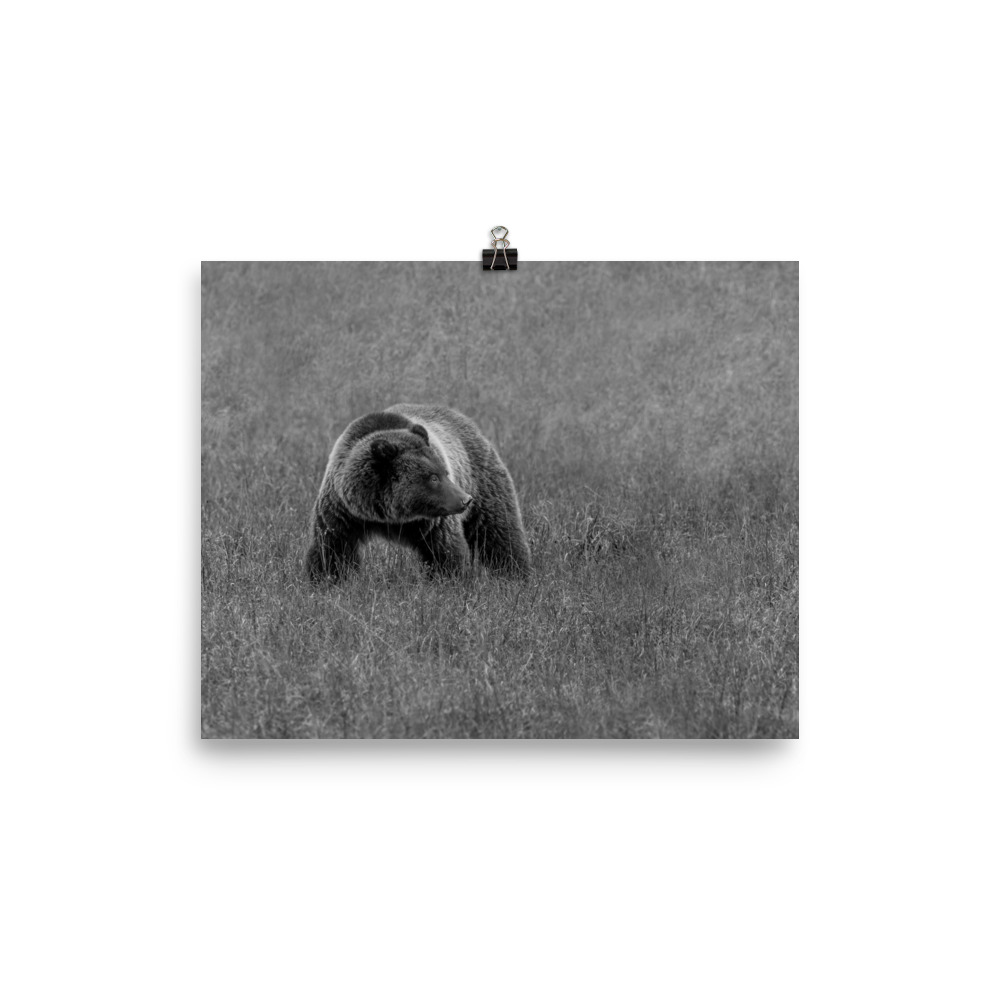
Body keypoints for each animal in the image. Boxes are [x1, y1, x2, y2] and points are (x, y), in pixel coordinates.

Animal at [306, 404, 531, 582]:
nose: (465, 500)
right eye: (433, 477)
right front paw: (326, 580)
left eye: (445, 472)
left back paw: (516, 574)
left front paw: (448, 580)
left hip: (482, 480)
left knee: (498, 531)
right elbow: (332, 549)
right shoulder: (342, 512)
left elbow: (444, 551)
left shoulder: (432, 521)